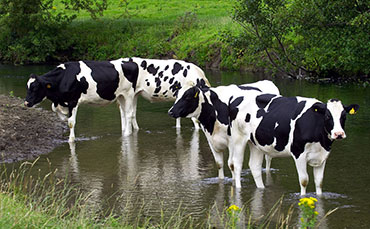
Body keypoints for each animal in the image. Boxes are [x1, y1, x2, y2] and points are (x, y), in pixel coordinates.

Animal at [25, 57, 211, 142]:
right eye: (28, 87)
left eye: (35, 88)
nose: (26, 102)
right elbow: (60, 115)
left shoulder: (73, 101)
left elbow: (71, 123)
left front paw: (71, 140)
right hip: (125, 96)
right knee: (127, 115)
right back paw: (127, 132)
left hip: (128, 94)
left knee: (128, 115)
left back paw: (128, 134)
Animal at [228, 95, 358, 195]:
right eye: (327, 116)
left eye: (344, 116)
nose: (339, 134)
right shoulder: (298, 153)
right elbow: (304, 180)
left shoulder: (322, 155)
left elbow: (319, 181)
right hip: (239, 139)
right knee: (237, 164)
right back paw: (239, 188)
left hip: (256, 144)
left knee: (254, 166)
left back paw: (261, 188)